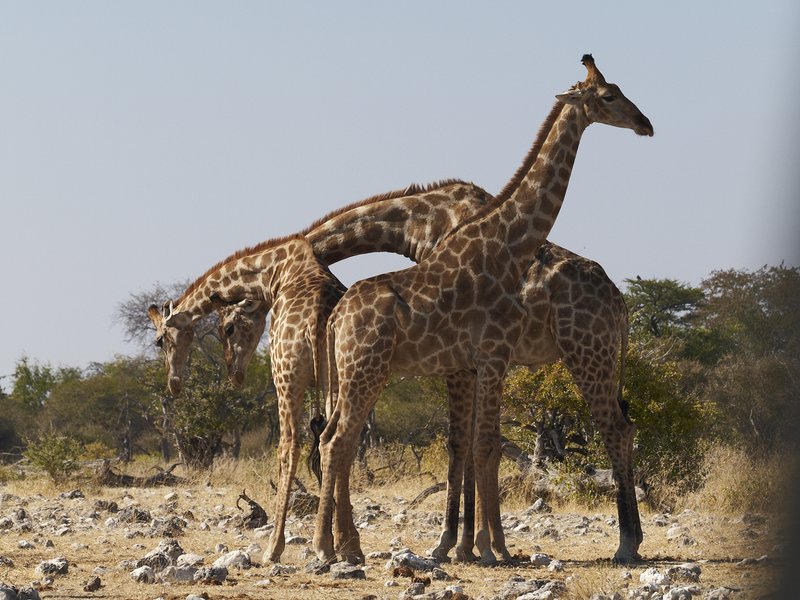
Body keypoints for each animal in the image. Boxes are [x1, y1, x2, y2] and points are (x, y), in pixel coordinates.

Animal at [312, 55, 652, 565]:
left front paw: (473, 546)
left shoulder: (484, 359)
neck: (503, 244)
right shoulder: (487, 356)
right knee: (338, 441)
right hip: (368, 372)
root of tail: (622, 303)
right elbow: (480, 445)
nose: (645, 123)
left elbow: (477, 445)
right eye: (609, 95)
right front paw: (482, 547)